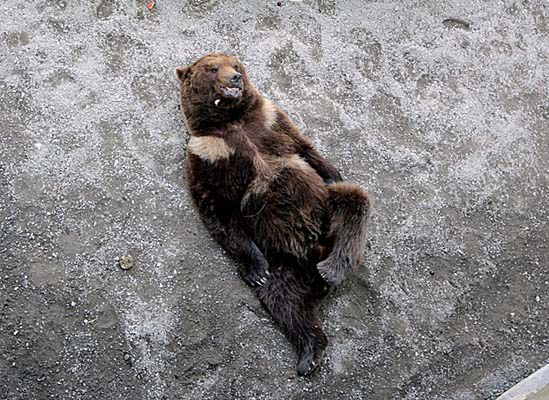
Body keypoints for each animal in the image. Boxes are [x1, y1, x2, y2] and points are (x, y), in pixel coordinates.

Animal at [178, 52, 370, 376]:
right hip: (282, 265)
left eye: (236, 65)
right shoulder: (206, 154)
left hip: (322, 210)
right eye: (213, 68)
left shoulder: (270, 120)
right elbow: (219, 212)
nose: (234, 78)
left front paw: (332, 172)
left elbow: (304, 146)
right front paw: (255, 270)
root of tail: (313, 253)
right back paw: (308, 353)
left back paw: (332, 269)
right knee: (285, 303)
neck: (232, 121)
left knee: (353, 204)